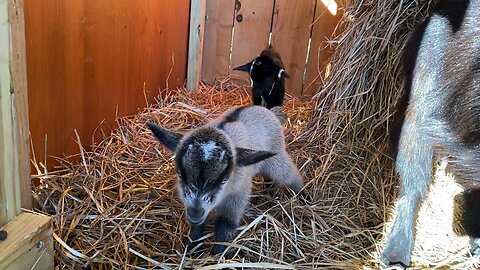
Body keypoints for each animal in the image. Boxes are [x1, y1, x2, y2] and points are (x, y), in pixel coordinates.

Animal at [148, 105, 302, 255]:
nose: (195, 214)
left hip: (276, 157)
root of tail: (270, 111)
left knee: (290, 175)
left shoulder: (237, 196)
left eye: (223, 180)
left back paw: (302, 195)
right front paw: (192, 247)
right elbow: (198, 227)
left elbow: (226, 225)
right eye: (181, 174)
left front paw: (217, 254)